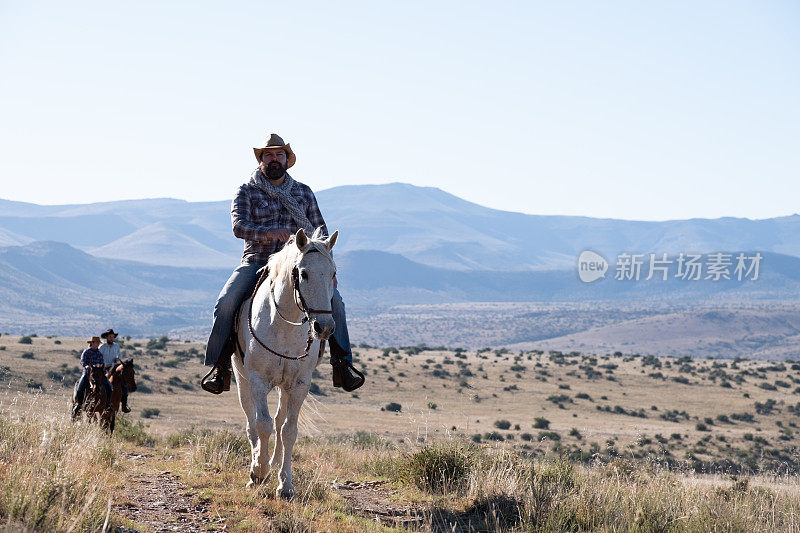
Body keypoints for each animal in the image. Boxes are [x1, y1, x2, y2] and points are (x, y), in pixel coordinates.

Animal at [234, 225, 340, 498]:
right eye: (303, 273)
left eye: (333, 273)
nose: (324, 327)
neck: (283, 325)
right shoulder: (258, 380)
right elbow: (262, 424)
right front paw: (258, 472)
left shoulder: (299, 384)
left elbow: (288, 430)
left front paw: (286, 484)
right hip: (241, 377)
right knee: (251, 420)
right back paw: (257, 463)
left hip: (284, 387)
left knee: (279, 421)